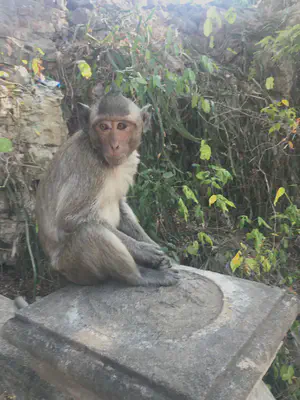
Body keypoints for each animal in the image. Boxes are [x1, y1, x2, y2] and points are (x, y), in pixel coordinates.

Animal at [36, 85, 179, 288]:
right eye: (103, 127)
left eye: (121, 126)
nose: (114, 145)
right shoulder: (88, 168)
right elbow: (70, 218)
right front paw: (144, 251)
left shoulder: (130, 161)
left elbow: (120, 204)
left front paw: (153, 245)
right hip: (73, 267)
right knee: (91, 232)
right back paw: (140, 276)